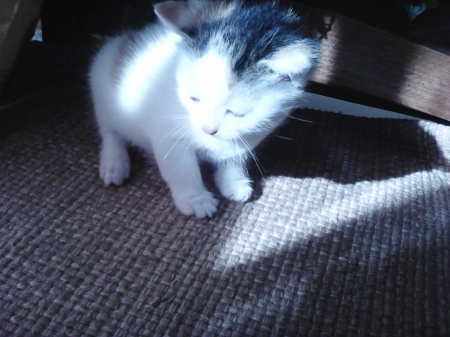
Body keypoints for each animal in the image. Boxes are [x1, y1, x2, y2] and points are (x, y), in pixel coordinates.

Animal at [89, 0, 320, 218]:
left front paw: (234, 181)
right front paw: (195, 199)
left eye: (238, 113)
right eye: (193, 99)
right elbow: (182, 169)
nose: (207, 129)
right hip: (103, 89)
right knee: (110, 132)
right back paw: (115, 164)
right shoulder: (167, 134)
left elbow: (233, 157)